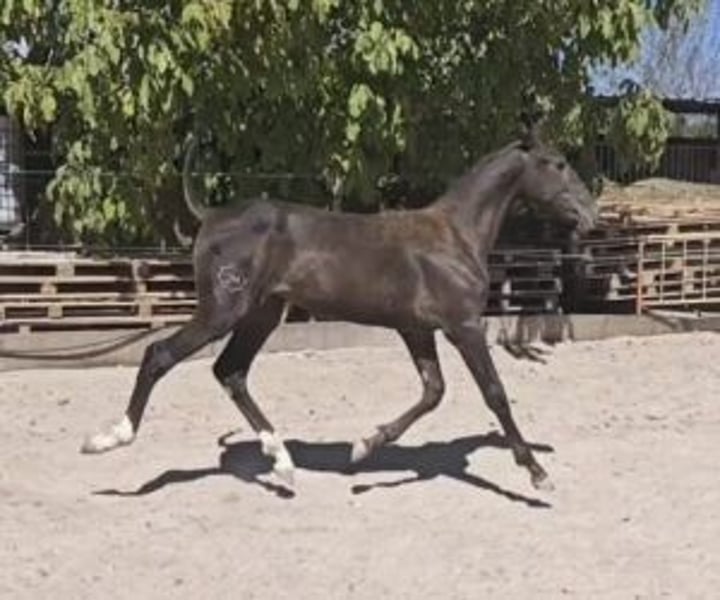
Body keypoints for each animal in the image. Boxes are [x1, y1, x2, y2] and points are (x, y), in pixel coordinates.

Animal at [82, 126, 598, 492]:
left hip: (262, 314)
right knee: (160, 355)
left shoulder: (417, 330)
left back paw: (283, 464)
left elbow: (432, 392)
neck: (456, 236)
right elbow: (494, 393)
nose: (591, 215)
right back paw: (108, 438)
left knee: (230, 370)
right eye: (558, 163)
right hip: (222, 310)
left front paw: (363, 447)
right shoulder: (463, 326)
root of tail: (211, 215)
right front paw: (536, 472)